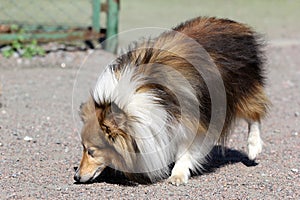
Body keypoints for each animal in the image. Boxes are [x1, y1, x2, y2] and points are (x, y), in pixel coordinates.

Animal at [74, 16, 270, 185]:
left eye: (91, 151)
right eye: (83, 148)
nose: (76, 176)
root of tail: (234, 24)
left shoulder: (191, 121)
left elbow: (185, 151)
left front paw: (178, 174)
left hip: (243, 90)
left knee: (255, 115)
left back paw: (253, 147)